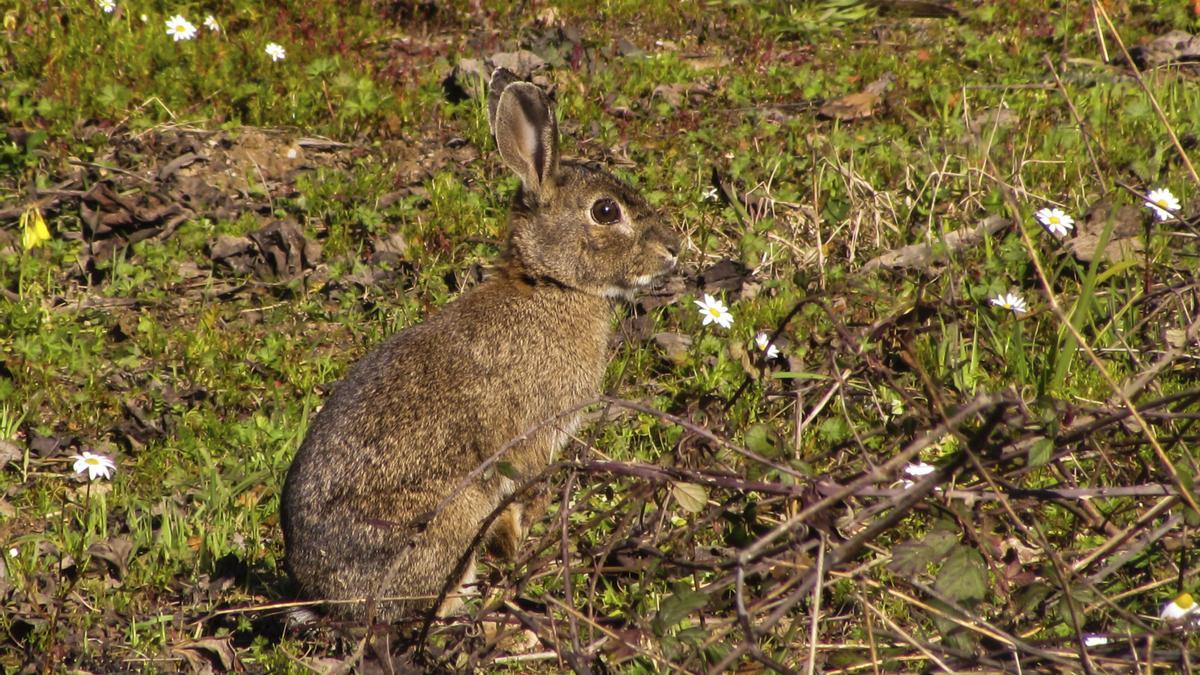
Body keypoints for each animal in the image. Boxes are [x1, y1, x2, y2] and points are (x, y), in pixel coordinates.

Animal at [276, 68, 681, 619]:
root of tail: (329, 597)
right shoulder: (531, 436)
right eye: (605, 211)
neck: (550, 284)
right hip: (452, 515)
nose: (672, 250)